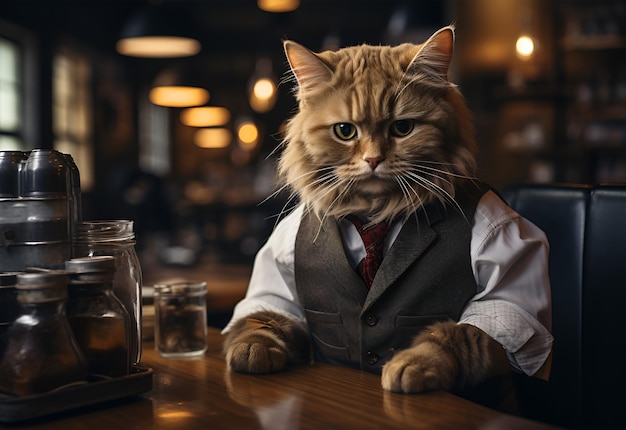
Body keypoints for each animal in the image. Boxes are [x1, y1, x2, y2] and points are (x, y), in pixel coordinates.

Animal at [221, 25, 552, 404]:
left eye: (403, 128)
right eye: (345, 131)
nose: (373, 159)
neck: (374, 213)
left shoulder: (506, 302)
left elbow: (455, 336)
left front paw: (415, 366)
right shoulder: (277, 286)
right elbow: (262, 318)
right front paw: (252, 350)